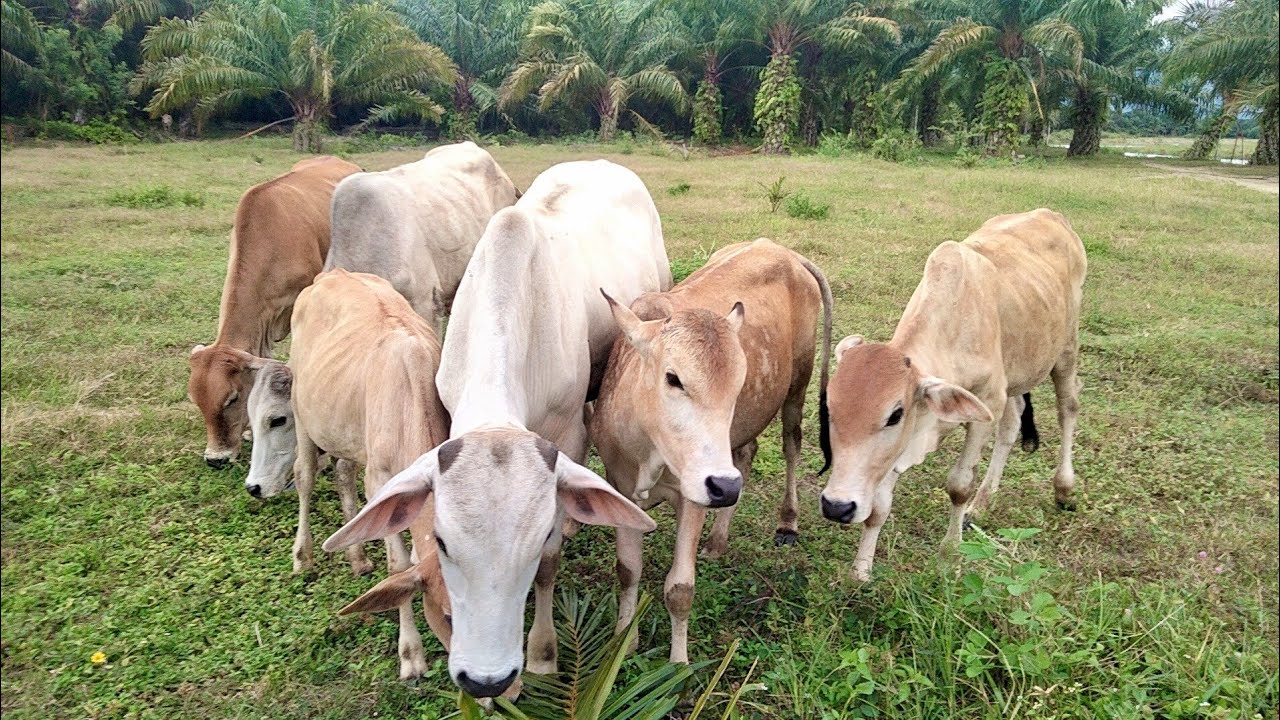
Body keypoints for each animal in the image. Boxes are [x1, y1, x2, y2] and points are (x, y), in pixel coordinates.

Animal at [241, 269, 452, 680]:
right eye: (449, 617)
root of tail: (333, 273)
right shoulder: (381, 482)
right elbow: (399, 567)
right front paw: (411, 655)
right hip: (305, 417)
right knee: (305, 477)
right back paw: (303, 556)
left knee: (343, 475)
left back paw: (356, 557)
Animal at [590, 238, 833, 664]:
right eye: (673, 378)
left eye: (737, 383)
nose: (723, 486)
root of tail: (783, 251)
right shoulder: (620, 488)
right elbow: (627, 570)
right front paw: (623, 641)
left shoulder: (694, 497)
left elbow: (680, 588)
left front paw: (678, 665)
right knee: (747, 454)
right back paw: (718, 540)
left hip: (798, 383)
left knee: (791, 444)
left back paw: (787, 522)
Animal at [818, 208, 1087, 582]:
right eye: (829, 410)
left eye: (895, 415)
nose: (837, 506)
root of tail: (1052, 214)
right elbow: (879, 507)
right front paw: (860, 573)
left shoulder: (984, 405)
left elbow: (959, 486)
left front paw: (949, 558)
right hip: (1015, 377)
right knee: (1012, 423)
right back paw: (983, 502)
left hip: (1065, 349)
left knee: (1068, 408)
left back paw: (1064, 488)